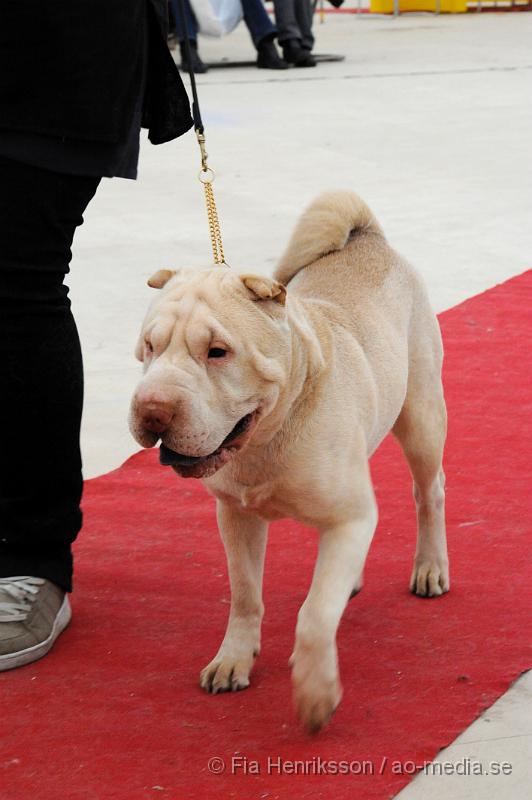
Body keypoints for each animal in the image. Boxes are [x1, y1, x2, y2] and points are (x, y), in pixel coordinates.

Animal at [129, 192, 448, 732]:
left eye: (218, 352)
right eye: (149, 348)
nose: (152, 409)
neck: (265, 437)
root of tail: (368, 238)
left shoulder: (347, 517)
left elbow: (315, 614)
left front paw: (316, 694)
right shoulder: (235, 517)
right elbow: (245, 593)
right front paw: (233, 658)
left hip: (422, 418)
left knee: (429, 493)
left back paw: (430, 566)